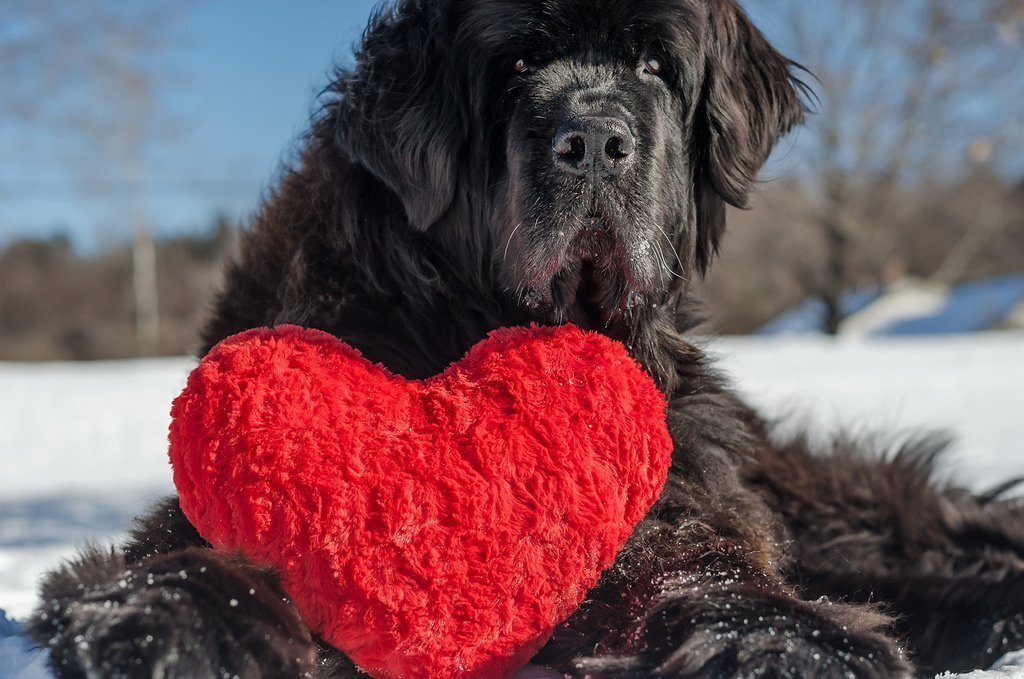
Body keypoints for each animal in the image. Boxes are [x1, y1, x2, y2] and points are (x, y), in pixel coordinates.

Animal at [25, 2, 1024, 675]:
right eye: (513, 62)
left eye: (655, 64)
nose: (594, 139)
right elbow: (190, 553)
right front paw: (167, 626)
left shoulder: (675, 498)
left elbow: (706, 565)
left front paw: (785, 643)